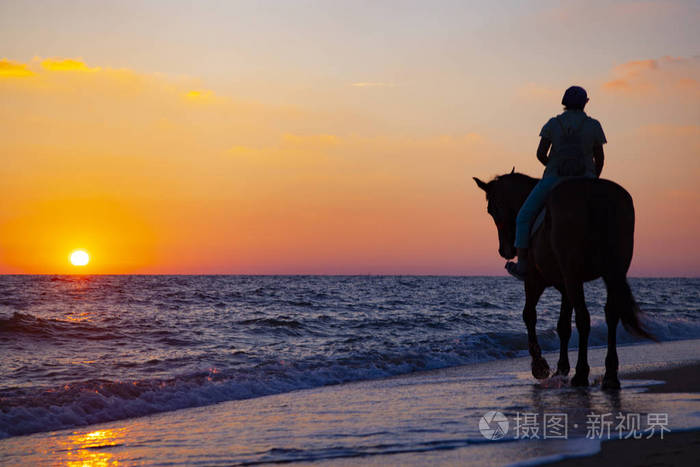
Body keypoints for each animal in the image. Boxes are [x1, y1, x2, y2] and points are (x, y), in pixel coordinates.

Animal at [473, 171, 653, 389]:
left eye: (491, 210)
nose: (505, 250)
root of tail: (594, 193)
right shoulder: (565, 286)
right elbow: (563, 326)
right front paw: (561, 368)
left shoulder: (535, 280)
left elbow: (529, 315)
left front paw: (540, 366)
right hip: (612, 273)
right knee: (611, 314)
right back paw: (610, 375)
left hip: (573, 274)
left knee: (584, 318)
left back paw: (582, 373)